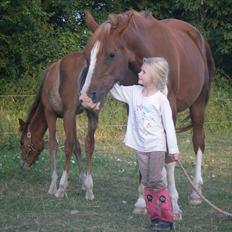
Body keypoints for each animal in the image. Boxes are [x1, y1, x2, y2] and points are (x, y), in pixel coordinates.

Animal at [18, 51, 98, 200]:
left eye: (22, 142)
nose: (22, 164)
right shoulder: (73, 117)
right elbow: (77, 147)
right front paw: (84, 183)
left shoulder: (51, 113)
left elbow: (53, 144)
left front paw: (53, 185)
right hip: (92, 113)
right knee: (89, 145)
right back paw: (90, 189)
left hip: (68, 114)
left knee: (68, 145)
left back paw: (61, 188)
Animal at [80, 9, 216, 219]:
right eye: (88, 56)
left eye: (111, 54)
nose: (86, 97)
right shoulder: (132, 106)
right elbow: (142, 154)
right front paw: (142, 201)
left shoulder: (170, 109)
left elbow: (169, 159)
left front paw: (174, 205)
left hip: (198, 106)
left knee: (198, 142)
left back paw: (196, 192)